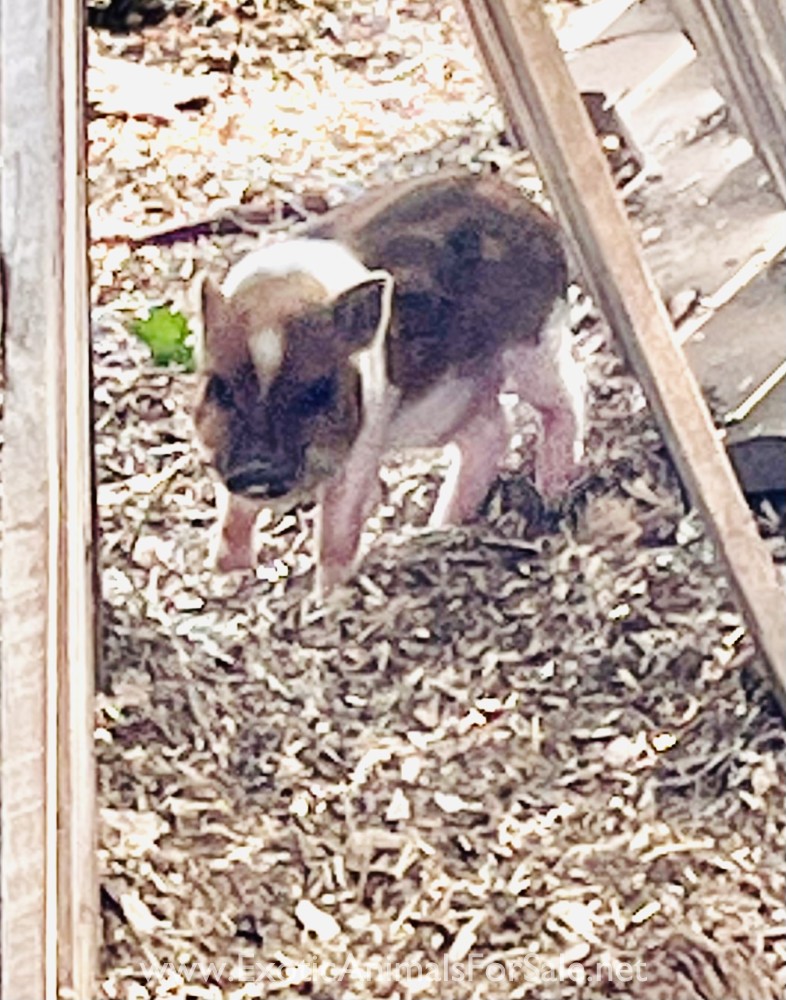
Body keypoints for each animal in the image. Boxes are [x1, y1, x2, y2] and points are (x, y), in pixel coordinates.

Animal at [193, 171, 585, 594]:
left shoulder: (364, 438)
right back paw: (437, 525)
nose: (258, 470)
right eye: (219, 388)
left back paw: (551, 493)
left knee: (567, 399)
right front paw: (225, 572)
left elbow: (339, 519)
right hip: (442, 407)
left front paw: (328, 594)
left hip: (535, 348)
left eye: (317, 392)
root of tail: (533, 210)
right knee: (493, 431)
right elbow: (234, 512)